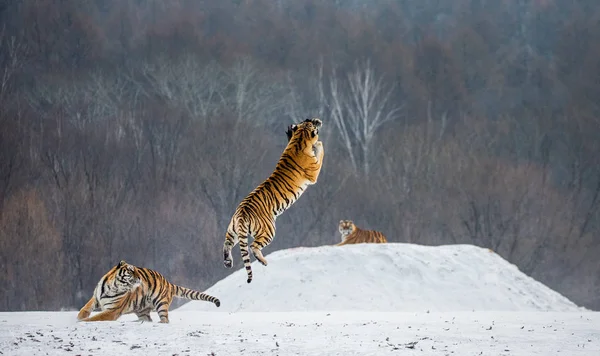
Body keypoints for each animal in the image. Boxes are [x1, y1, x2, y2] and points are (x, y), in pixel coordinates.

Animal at [77, 260, 220, 324]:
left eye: (137, 270)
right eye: (131, 271)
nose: (140, 278)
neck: (113, 286)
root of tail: (168, 282)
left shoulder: (112, 311)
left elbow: (96, 317)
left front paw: (84, 321)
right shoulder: (96, 298)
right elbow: (85, 309)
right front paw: (80, 317)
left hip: (161, 304)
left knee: (165, 319)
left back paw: (160, 322)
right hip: (142, 310)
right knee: (147, 319)